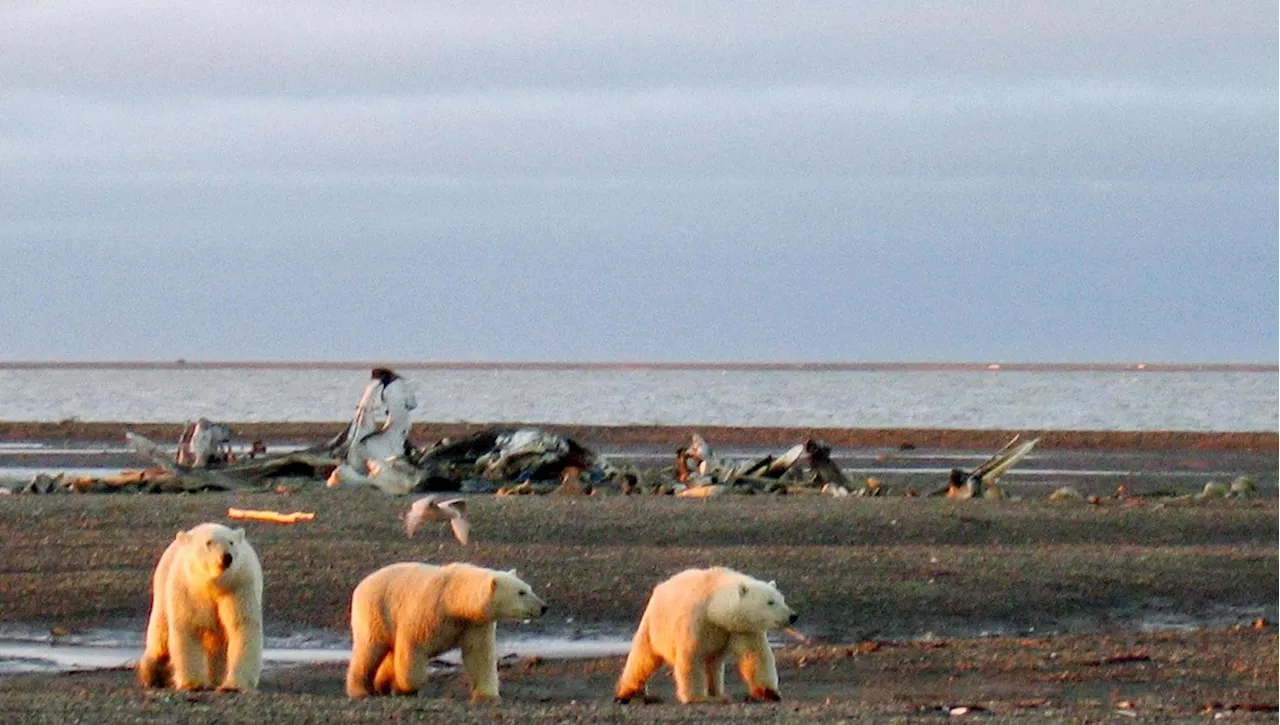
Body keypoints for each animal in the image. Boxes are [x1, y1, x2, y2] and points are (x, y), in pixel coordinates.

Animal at [136, 522, 263, 691]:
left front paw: (233, 685)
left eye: (231, 542)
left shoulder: (238, 587)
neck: (213, 584)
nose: (226, 557)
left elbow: (242, 626)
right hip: (162, 588)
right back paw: (151, 674)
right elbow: (188, 627)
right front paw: (193, 683)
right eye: (208, 543)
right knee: (160, 637)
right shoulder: (188, 590)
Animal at [345, 563, 545, 707]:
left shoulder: (474, 624)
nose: (543, 607)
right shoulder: (426, 613)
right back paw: (360, 690)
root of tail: (361, 584)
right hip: (377, 612)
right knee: (369, 650)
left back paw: (382, 684)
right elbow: (412, 648)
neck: (452, 598)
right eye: (521, 592)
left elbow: (479, 656)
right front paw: (406, 688)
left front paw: (487, 696)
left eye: (529, 588)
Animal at [614, 568, 793, 707]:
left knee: (713, 665)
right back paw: (629, 693)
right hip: (654, 624)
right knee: (643, 658)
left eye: (782, 599)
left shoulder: (742, 628)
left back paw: (718, 694)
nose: (793, 616)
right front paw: (697, 697)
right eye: (770, 602)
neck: (713, 606)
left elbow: (755, 656)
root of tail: (661, 586)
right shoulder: (697, 620)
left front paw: (769, 693)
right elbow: (691, 657)